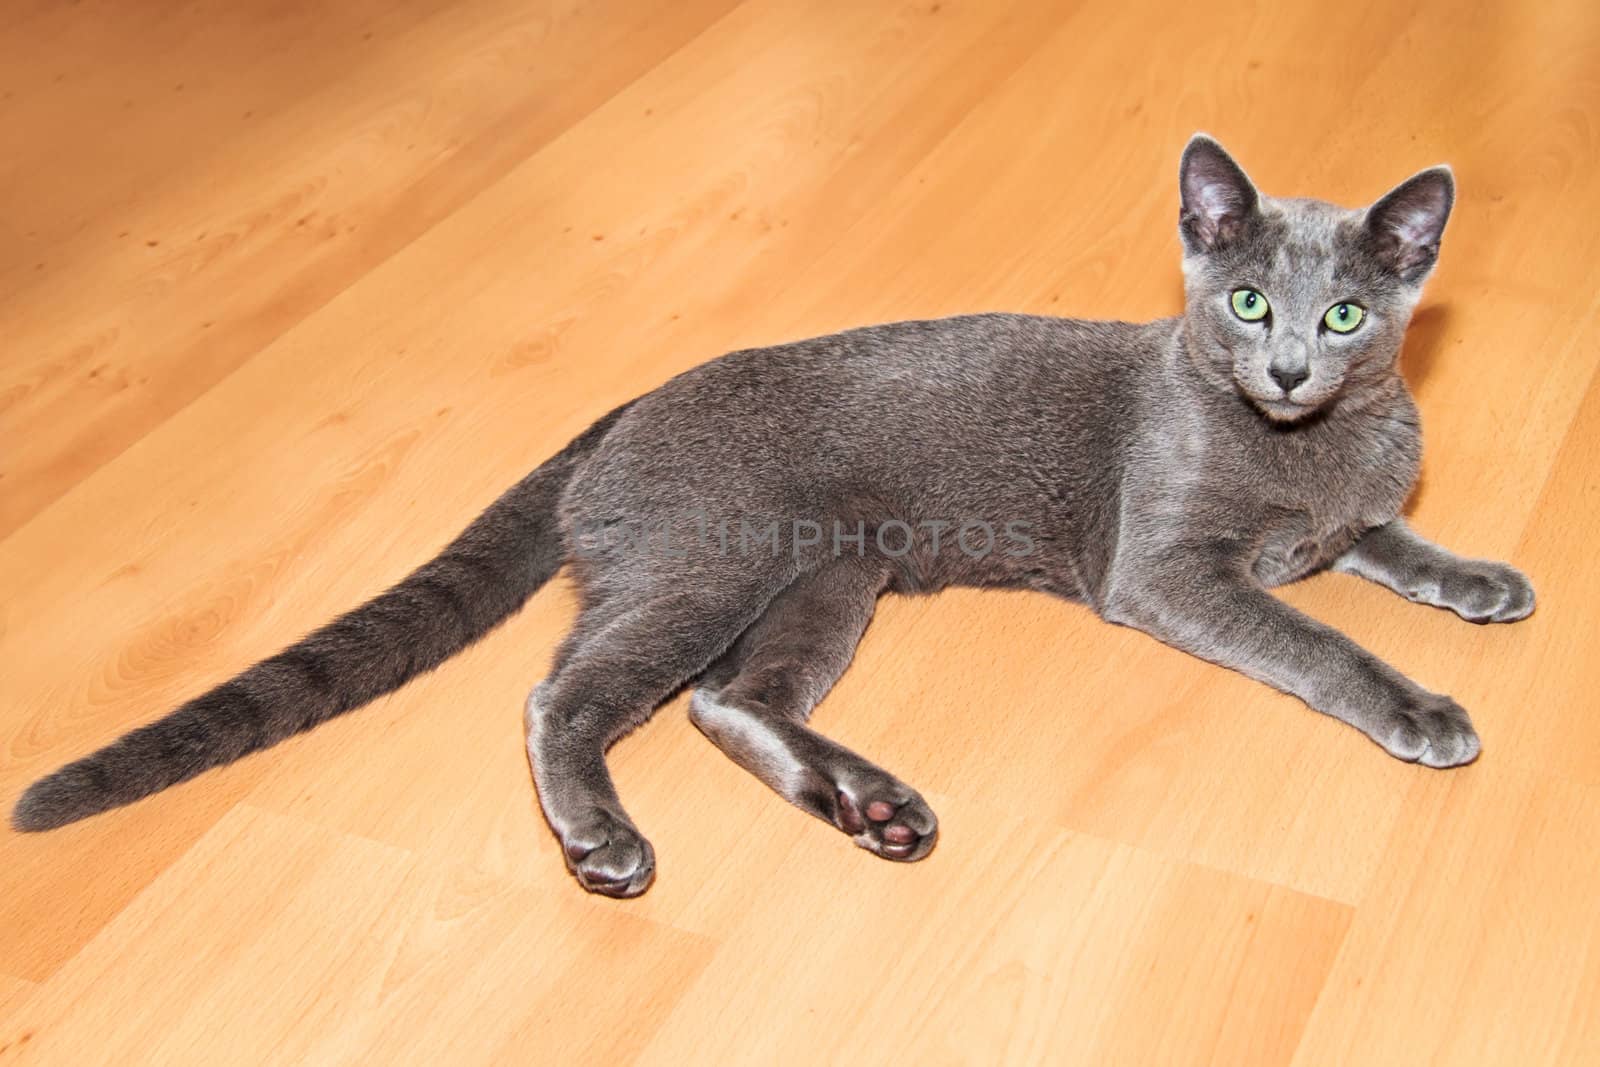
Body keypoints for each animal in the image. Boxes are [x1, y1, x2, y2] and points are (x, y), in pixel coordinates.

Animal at [15, 137, 1536, 895]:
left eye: (1346, 315)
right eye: (1247, 301)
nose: (1283, 368)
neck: (1302, 449)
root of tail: (620, 414)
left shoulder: (1351, 509)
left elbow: (1389, 540)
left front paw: (1478, 579)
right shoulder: (1162, 568)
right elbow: (1314, 639)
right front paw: (1418, 707)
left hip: (827, 579)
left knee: (724, 699)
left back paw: (871, 804)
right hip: (717, 559)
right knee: (566, 691)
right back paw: (603, 837)